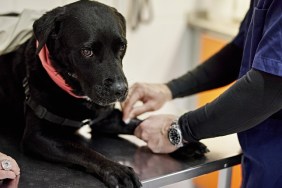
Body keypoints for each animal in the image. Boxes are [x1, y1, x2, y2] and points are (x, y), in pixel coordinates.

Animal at [0, 0, 207, 187]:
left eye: (122, 46)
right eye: (87, 51)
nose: (121, 90)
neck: (76, 93)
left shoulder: (105, 119)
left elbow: (138, 122)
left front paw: (181, 143)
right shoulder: (37, 136)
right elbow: (83, 151)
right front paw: (117, 170)